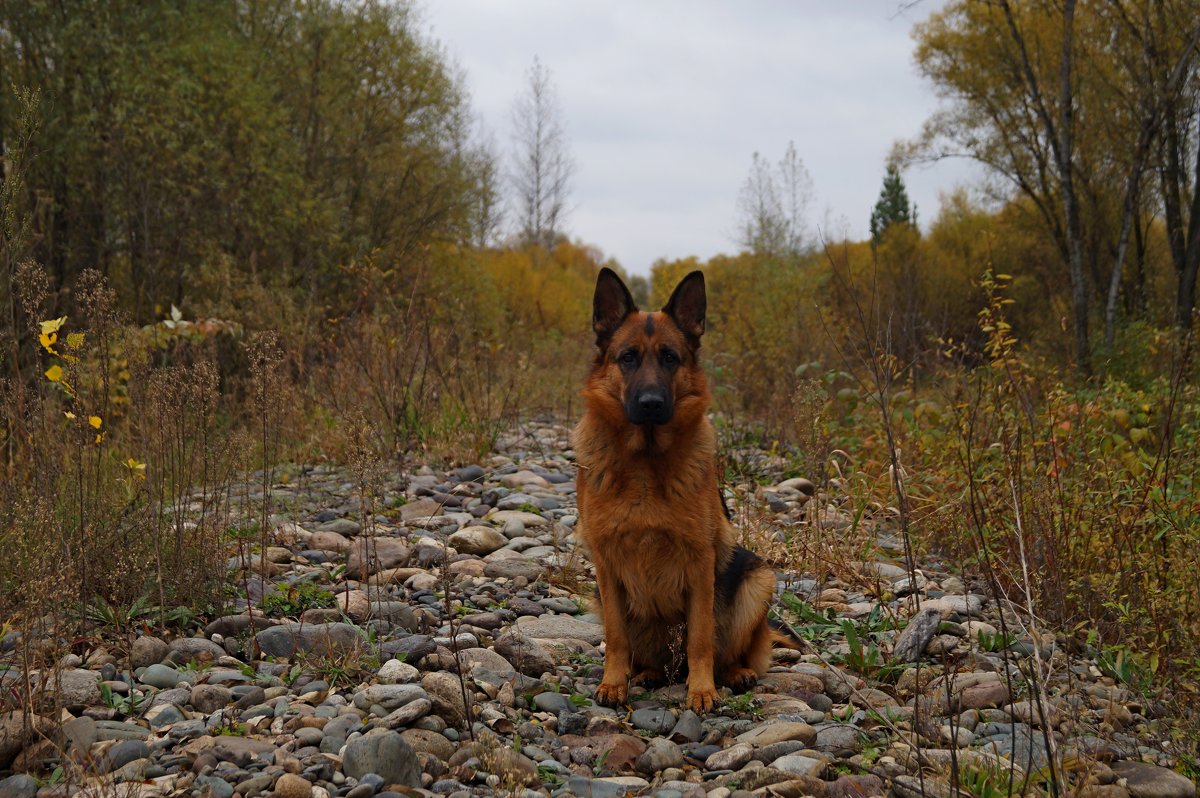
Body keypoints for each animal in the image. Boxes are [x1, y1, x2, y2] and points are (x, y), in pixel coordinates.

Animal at [573, 267, 796, 710]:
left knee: (732, 650)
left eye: (670, 358)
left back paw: (734, 674)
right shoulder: (606, 567)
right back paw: (647, 674)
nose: (651, 403)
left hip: (757, 580)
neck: (645, 465)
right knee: (649, 657)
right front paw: (613, 683)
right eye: (628, 357)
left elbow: (700, 638)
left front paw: (702, 690)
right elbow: (616, 637)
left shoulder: (699, 564)